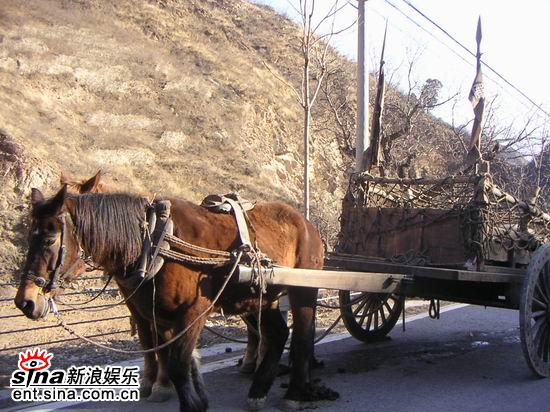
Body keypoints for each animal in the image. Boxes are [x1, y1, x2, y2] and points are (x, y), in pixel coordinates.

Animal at [15, 186, 336, 412]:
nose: (25, 301)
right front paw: (189, 397)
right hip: (262, 296)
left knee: (302, 336)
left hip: (303, 289)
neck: (155, 243)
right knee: (277, 334)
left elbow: (179, 365)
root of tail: (306, 222)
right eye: (29, 238)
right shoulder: (158, 315)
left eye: (49, 240)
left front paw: (191, 404)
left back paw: (295, 393)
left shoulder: (193, 312)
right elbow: (172, 360)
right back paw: (258, 391)